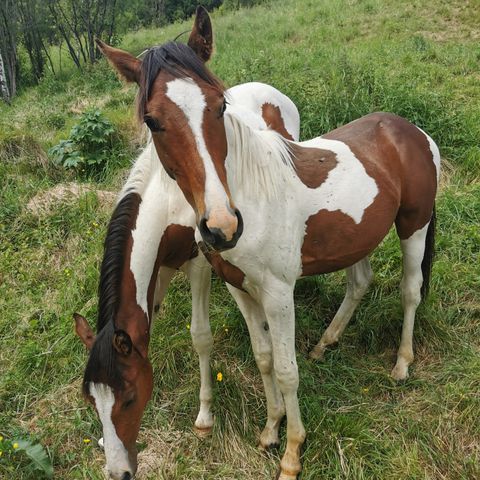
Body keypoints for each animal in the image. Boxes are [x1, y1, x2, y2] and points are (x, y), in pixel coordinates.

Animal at [74, 80, 300, 478]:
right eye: (91, 400)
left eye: (129, 398)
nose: (119, 472)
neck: (166, 199)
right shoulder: (158, 271)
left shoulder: (198, 265)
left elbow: (201, 337)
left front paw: (205, 417)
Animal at [98, 5, 442, 478]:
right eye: (151, 120)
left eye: (220, 105)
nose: (221, 226)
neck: (249, 195)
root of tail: (411, 131)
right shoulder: (238, 287)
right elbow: (262, 356)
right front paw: (270, 429)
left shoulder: (277, 294)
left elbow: (284, 369)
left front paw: (292, 453)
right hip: (360, 237)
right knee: (360, 281)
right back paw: (326, 342)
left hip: (414, 225)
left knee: (410, 291)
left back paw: (402, 363)